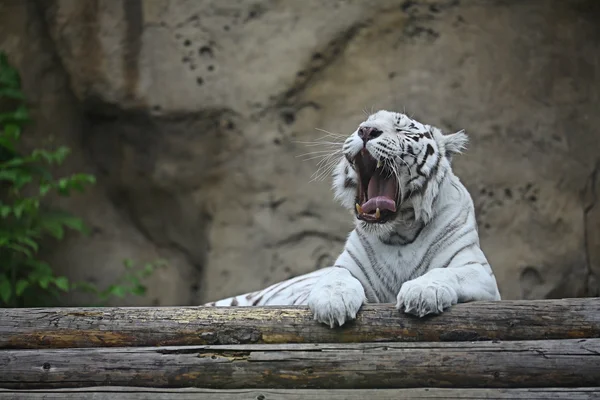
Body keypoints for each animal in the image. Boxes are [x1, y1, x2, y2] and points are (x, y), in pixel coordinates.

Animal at [206, 109, 502, 328]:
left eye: (403, 129)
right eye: (365, 123)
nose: (366, 131)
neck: (399, 233)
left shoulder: (479, 272)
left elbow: (446, 272)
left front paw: (421, 292)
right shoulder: (347, 268)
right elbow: (337, 278)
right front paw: (333, 303)